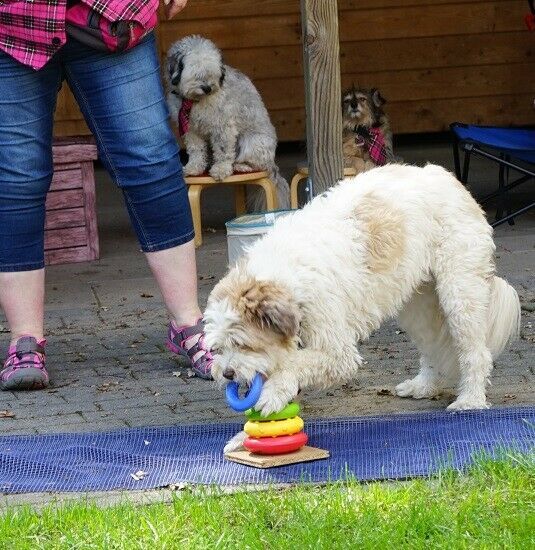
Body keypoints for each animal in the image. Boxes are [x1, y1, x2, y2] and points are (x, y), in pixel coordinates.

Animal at [166, 35, 288, 209]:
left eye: (212, 72)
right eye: (195, 71)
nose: (208, 88)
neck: (196, 100)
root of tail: (273, 164)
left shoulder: (222, 127)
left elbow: (223, 151)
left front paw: (220, 170)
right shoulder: (191, 131)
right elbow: (196, 151)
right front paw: (194, 167)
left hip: (252, 142)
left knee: (256, 163)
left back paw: (241, 166)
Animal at [203, 163, 520, 452]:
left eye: (243, 344)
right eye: (217, 348)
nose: (227, 374)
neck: (284, 273)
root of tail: (451, 180)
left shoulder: (337, 352)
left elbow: (294, 365)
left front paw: (269, 396)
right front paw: (244, 436)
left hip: (459, 295)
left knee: (476, 353)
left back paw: (471, 400)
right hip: (417, 306)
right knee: (431, 349)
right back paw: (422, 386)